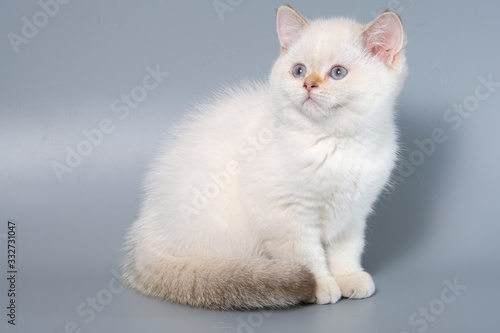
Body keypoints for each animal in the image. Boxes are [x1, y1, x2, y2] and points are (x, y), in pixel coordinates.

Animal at [121, 5, 406, 310]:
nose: (308, 84)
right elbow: (307, 255)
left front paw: (348, 277)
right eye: (299, 70)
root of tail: (144, 234)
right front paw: (322, 284)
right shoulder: (287, 214)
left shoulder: (354, 212)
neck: (336, 141)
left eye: (338, 73)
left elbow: (347, 250)